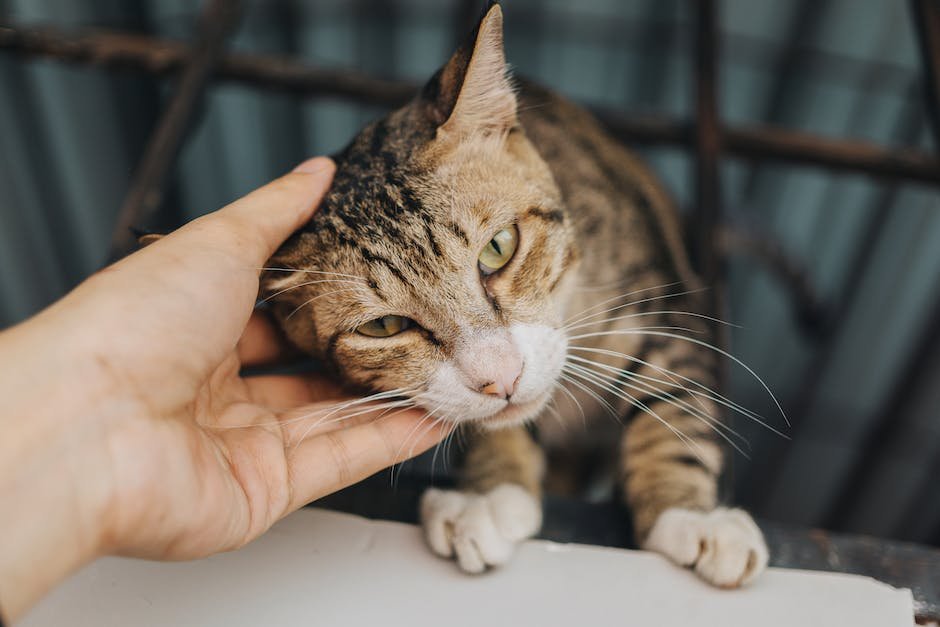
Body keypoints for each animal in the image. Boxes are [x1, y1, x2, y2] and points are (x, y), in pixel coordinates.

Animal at [262, 2, 772, 588]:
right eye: (383, 326)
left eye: (498, 248)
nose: (500, 378)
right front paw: (489, 493)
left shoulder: (657, 303)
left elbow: (676, 399)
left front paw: (690, 514)